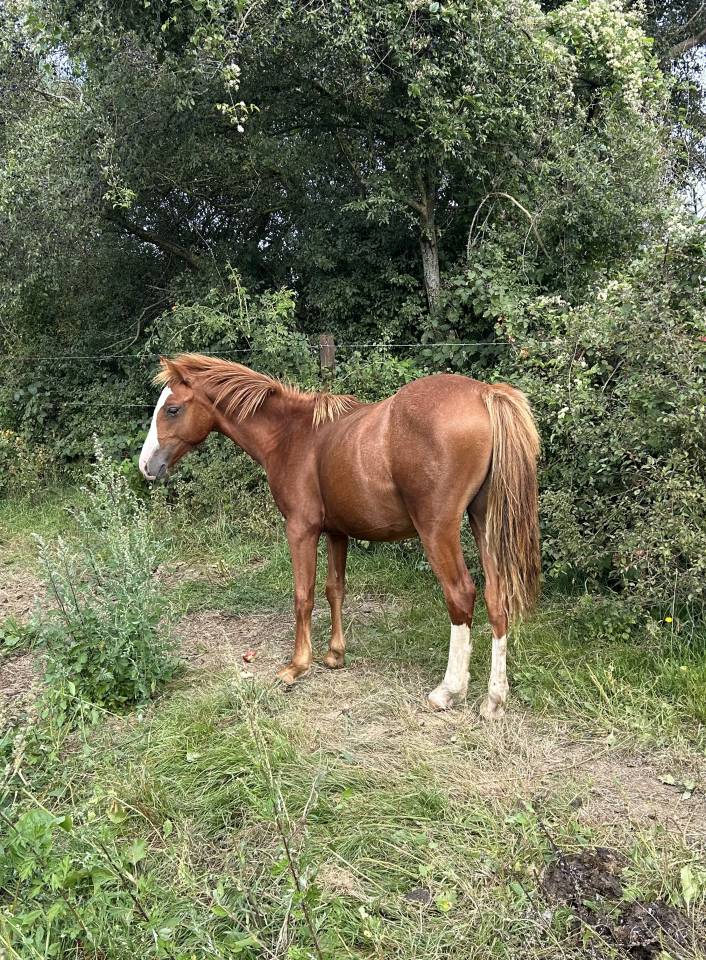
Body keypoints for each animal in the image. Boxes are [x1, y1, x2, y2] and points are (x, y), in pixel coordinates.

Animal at [139, 353, 540, 719]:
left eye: (172, 409)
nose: (146, 466)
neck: (292, 436)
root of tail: (484, 393)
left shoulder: (300, 530)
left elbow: (304, 595)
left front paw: (297, 666)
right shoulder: (336, 533)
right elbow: (335, 590)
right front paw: (334, 655)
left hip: (438, 530)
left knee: (460, 595)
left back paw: (448, 691)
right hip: (483, 523)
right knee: (496, 598)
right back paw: (494, 701)